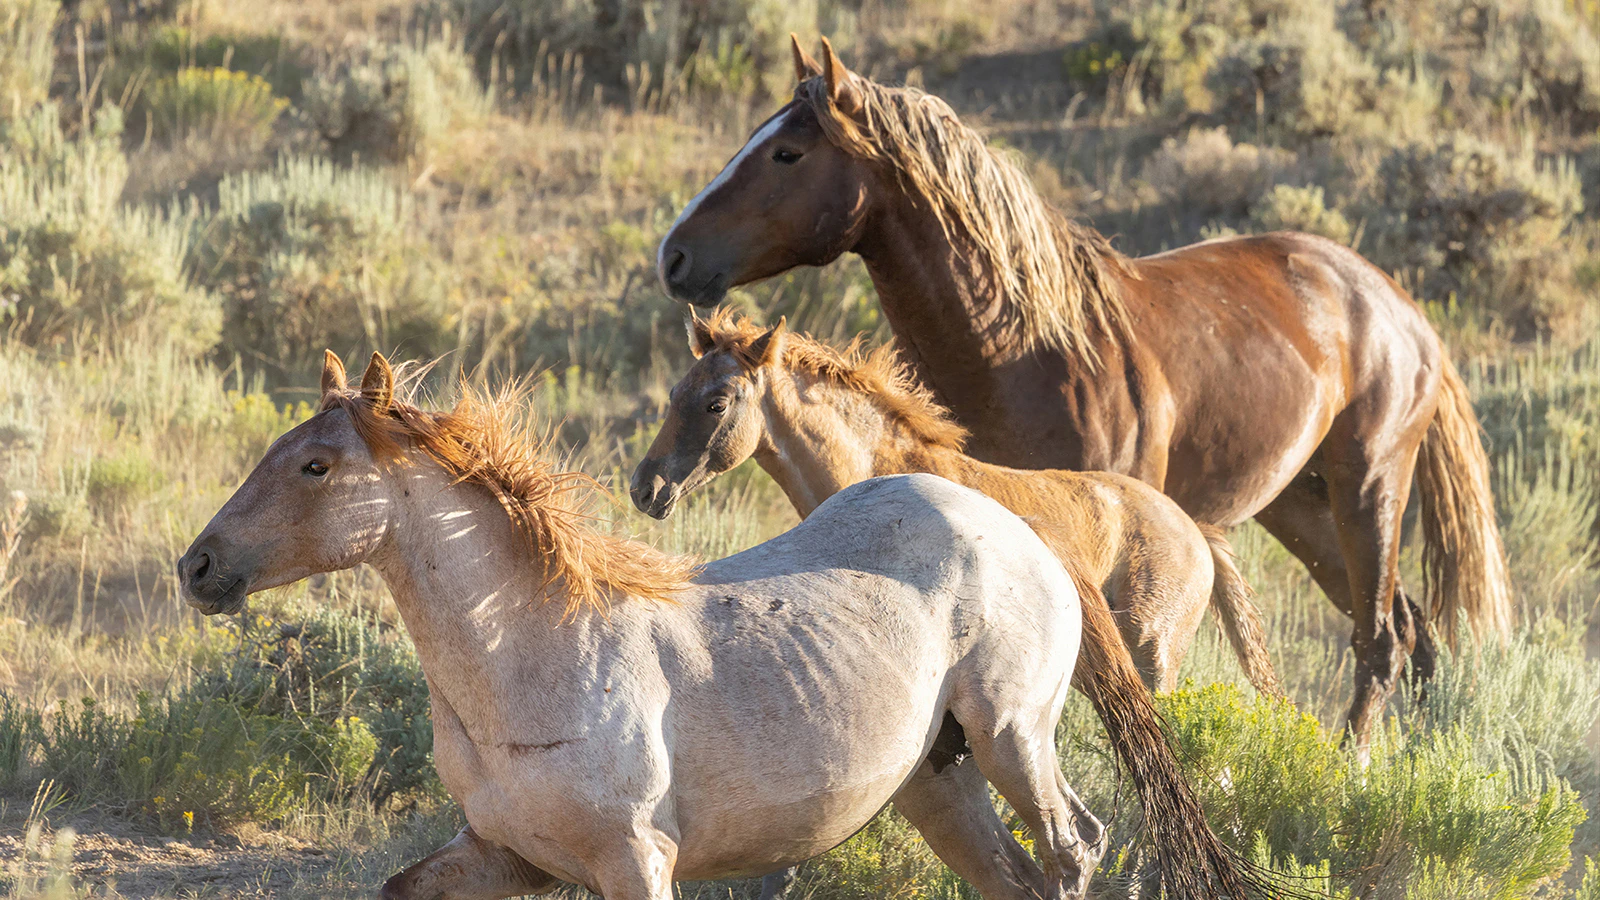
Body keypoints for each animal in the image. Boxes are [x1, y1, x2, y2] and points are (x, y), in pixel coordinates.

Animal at [177, 351, 1277, 900]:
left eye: (315, 465)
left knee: (1074, 847)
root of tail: (1021, 531)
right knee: (1016, 877)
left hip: (1013, 735)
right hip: (937, 779)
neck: (529, 660)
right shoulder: (502, 857)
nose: (198, 567)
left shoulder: (636, 863)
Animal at [632, 310, 1280, 698]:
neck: (882, 473)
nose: (646, 488)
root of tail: (1196, 530)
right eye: (675, 391)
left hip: (1150, 657)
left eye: (716, 403)